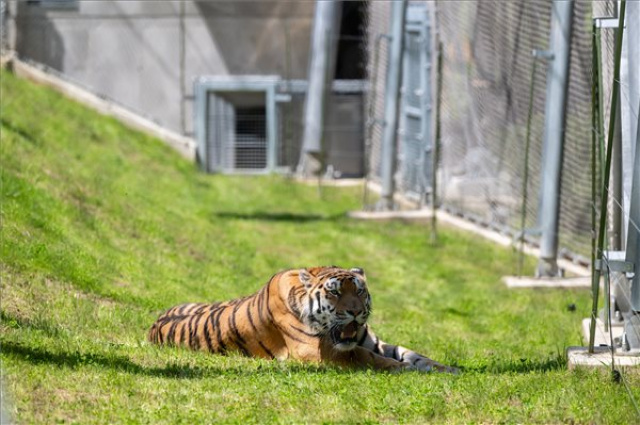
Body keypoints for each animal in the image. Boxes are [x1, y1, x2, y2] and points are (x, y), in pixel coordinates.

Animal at [149, 266, 460, 372]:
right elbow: (372, 359)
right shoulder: (320, 353)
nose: (356, 311)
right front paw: (407, 370)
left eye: (359, 291)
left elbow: (412, 353)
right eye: (335, 292)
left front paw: (446, 369)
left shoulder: (371, 341)